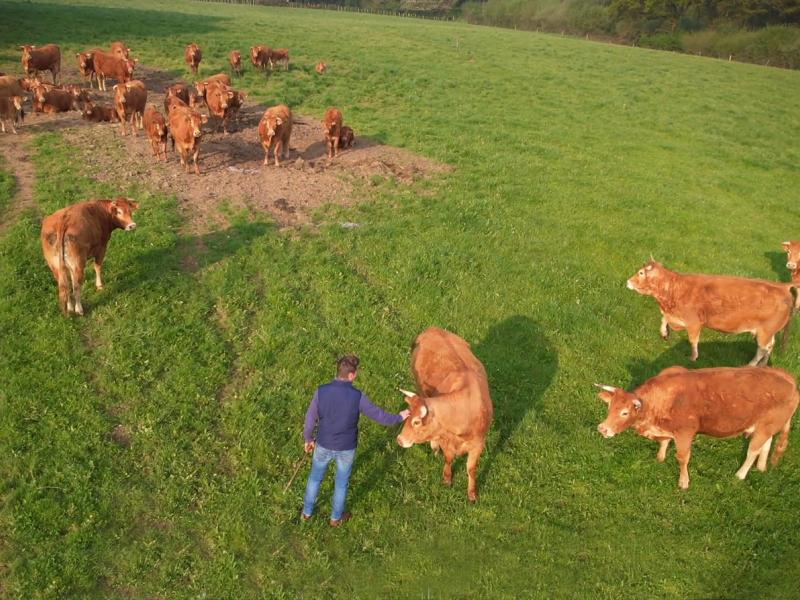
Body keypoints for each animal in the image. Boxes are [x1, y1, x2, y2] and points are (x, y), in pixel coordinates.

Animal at [396, 327, 493, 502]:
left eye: (416, 422)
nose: (399, 440)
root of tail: (433, 329)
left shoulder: (478, 444)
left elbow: (471, 468)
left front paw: (472, 493)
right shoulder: (446, 440)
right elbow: (448, 458)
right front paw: (447, 478)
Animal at [596, 366, 799, 489]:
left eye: (624, 413)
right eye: (609, 407)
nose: (602, 429)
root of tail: (786, 377)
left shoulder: (685, 432)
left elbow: (683, 458)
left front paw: (684, 482)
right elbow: (664, 443)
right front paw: (660, 457)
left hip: (766, 426)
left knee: (753, 450)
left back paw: (740, 475)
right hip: (767, 424)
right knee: (766, 444)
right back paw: (762, 467)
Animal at [627, 259, 798, 366]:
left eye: (641, 273)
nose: (628, 281)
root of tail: (783, 286)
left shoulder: (694, 322)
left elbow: (693, 340)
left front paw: (693, 357)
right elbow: (663, 319)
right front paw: (664, 332)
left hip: (765, 332)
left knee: (762, 349)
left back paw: (751, 364)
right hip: (769, 332)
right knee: (770, 346)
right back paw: (762, 364)